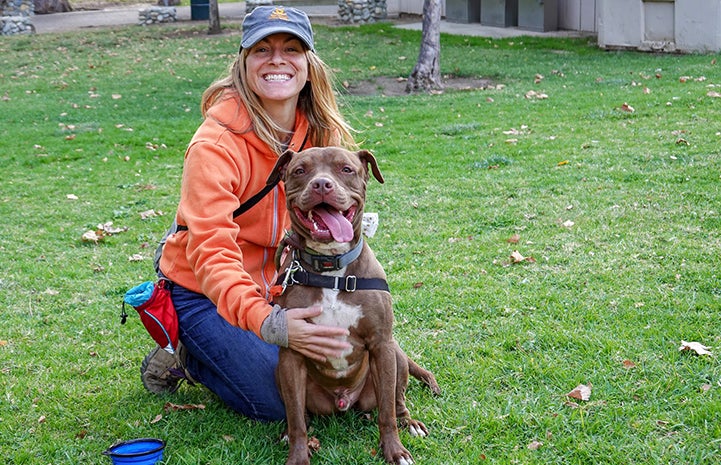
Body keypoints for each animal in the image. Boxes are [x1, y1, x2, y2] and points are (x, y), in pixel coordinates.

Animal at [268, 146, 438, 464]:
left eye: (345, 169)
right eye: (300, 171)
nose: (322, 184)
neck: (331, 269)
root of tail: (343, 400)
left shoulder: (381, 345)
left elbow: (387, 414)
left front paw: (394, 451)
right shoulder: (291, 354)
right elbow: (295, 417)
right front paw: (297, 454)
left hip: (395, 356)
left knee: (396, 402)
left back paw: (410, 423)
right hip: (280, 372)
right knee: (300, 414)